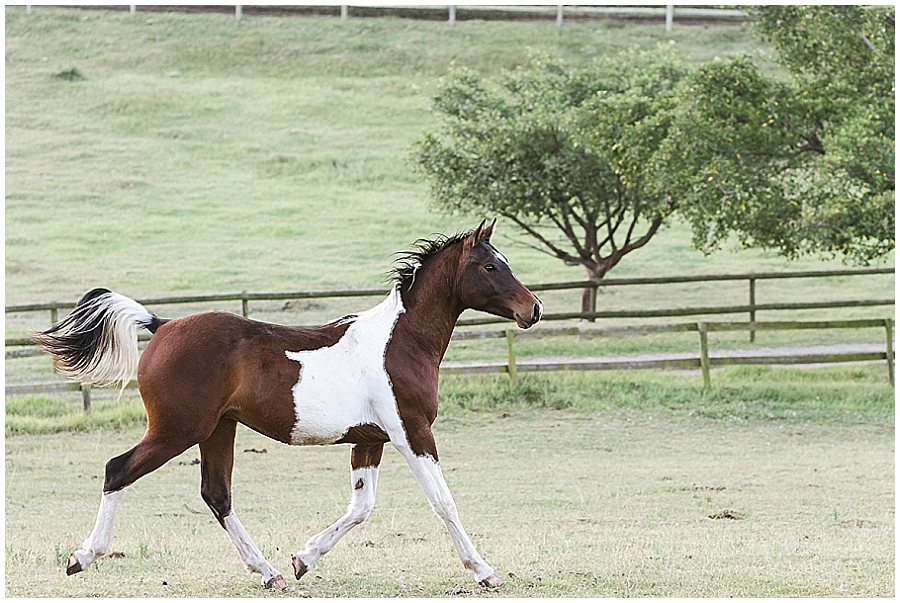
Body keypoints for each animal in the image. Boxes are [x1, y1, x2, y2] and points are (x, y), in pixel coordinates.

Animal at [33, 219, 542, 590]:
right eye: (491, 266)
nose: (533, 309)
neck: (400, 340)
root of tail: (163, 325)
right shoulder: (412, 432)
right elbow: (443, 502)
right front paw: (484, 571)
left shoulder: (370, 440)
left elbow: (361, 506)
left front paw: (303, 559)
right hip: (178, 429)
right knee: (118, 470)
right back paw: (81, 557)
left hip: (218, 429)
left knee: (217, 494)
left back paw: (270, 573)